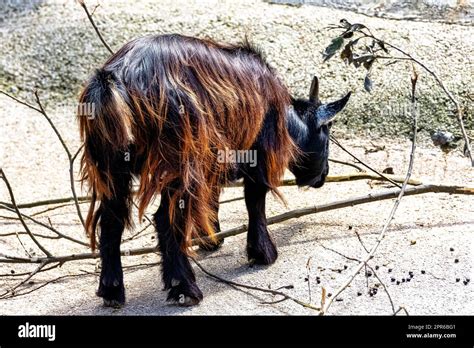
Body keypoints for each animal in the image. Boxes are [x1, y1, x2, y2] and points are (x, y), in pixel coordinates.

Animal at [78, 34, 350, 308]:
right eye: (327, 134)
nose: (324, 174)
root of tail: (116, 78)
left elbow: (212, 198)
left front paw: (211, 239)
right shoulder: (258, 155)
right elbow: (255, 202)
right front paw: (262, 253)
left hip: (111, 165)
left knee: (112, 220)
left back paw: (112, 291)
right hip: (178, 160)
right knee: (166, 218)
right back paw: (184, 288)